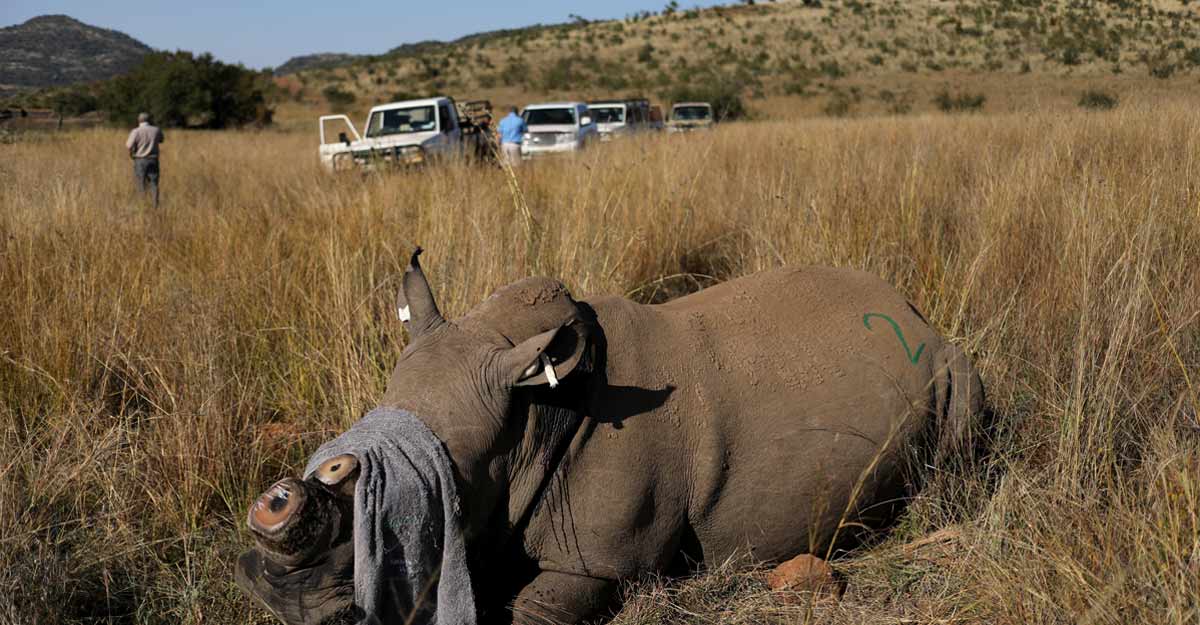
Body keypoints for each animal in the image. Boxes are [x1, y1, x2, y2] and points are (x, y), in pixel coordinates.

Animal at [237, 249, 986, 624]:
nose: (281, 598)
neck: (530, 412)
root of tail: (915, 318)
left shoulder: (596, 562)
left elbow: (532, 611)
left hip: (951, 368)